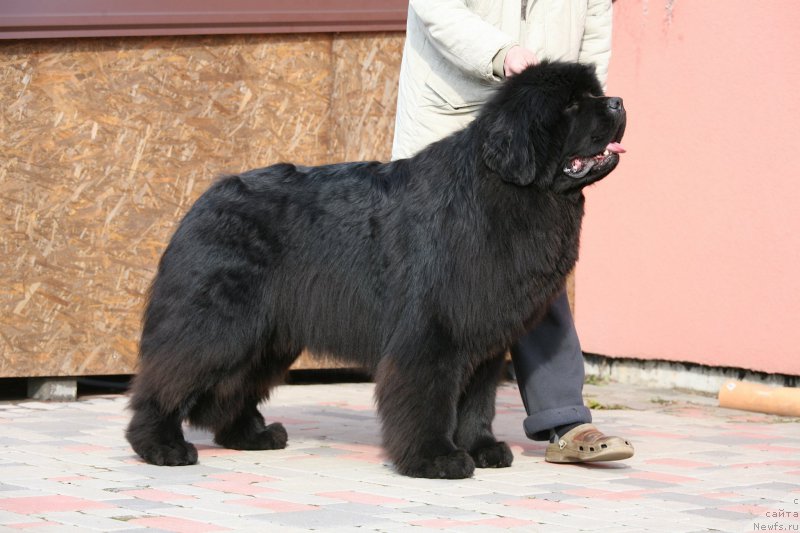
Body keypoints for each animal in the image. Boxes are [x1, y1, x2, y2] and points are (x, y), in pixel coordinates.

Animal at [125, 59, 624, 478]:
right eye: (572, 105)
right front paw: (436, 459)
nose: (618, 102)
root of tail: (205, 198)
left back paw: (251, 435)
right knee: (169, 377)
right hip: (218, 324)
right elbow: (428, 398)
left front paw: (482, 448)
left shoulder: (484, 335)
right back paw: (161, 446)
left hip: (266, 335)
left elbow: (477, 402)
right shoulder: (433, 330)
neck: (506, 191)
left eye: (595, 94)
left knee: (231, 387)